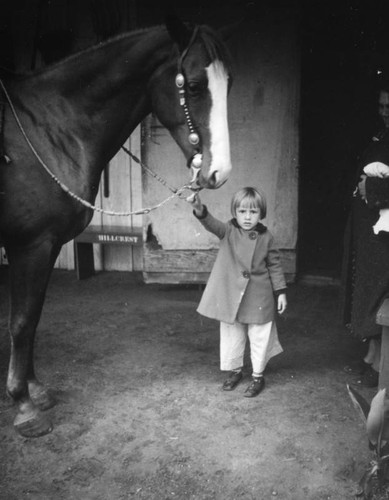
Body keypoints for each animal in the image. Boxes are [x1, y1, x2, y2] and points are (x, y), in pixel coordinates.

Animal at [0, 17, 230, 436]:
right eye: (192, 85)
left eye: (229, 83)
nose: (219, 172)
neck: (48, 127)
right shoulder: (29, 245)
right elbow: (22, 321)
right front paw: (24, 406)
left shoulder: (47, 246)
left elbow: (34, 315)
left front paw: (35, 388)